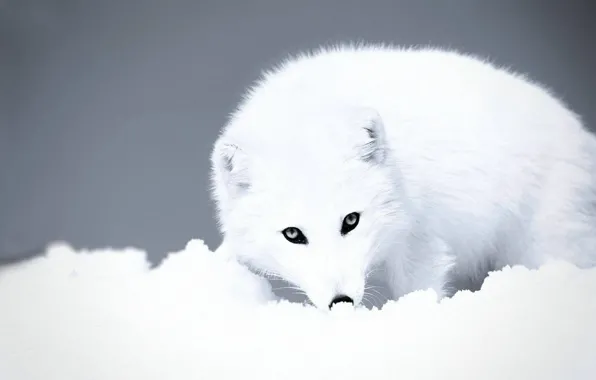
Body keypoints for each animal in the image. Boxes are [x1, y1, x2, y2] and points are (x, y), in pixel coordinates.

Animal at [208, 43, 596, 312]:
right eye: (292, 234)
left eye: (351, 220)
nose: (341, 302)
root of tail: (581, 135)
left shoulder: (420, 242)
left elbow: (421, 288)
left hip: (543, 246)